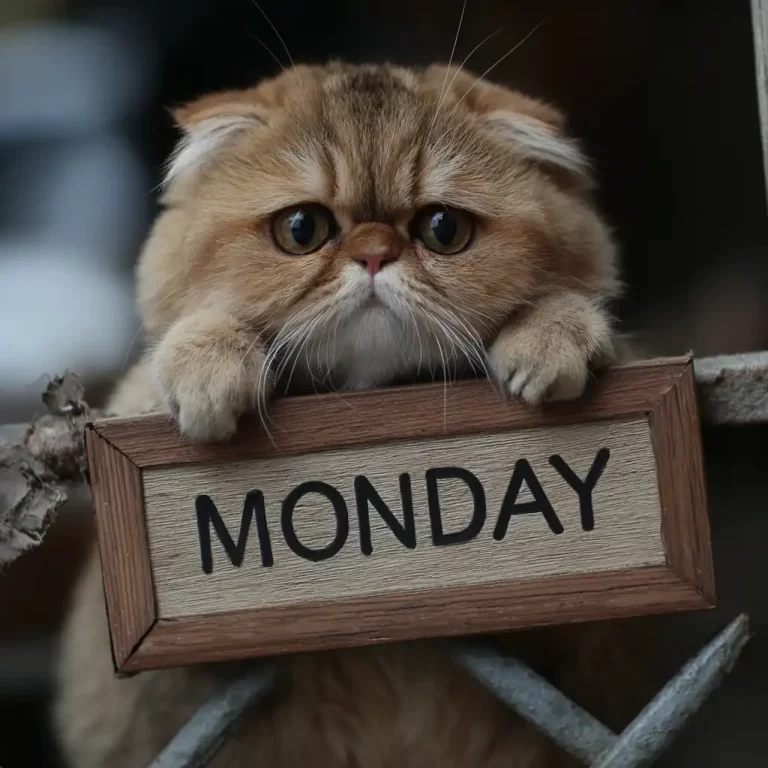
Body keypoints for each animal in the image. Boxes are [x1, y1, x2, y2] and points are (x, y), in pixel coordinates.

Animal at [54, 62, 652, 768]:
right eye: (301, 230)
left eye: (443, 229)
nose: (373, 255)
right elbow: (160, 369)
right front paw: (205, 366)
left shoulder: (587, 655)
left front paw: (553, 335)